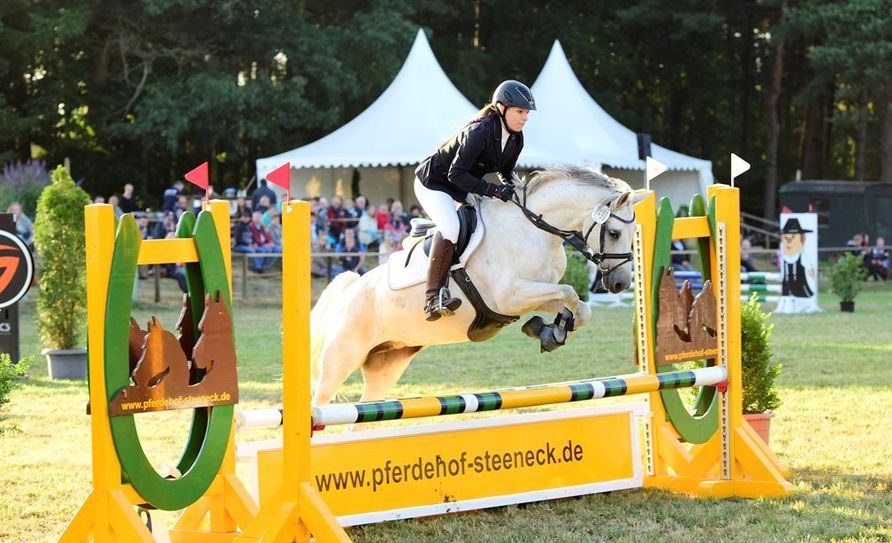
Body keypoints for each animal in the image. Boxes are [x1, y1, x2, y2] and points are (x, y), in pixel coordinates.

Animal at [310, 168, 644, 406]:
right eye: (614, 233)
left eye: (632, 234)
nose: (620, 283)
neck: (532, 229)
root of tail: (349, 292)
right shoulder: (509, 296)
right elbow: (570, 293)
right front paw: (551, 330)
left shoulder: (534, 291)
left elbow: (578, 305)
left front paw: (550, 331)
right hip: (342, 358)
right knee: (320, 403)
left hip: (386, 365)